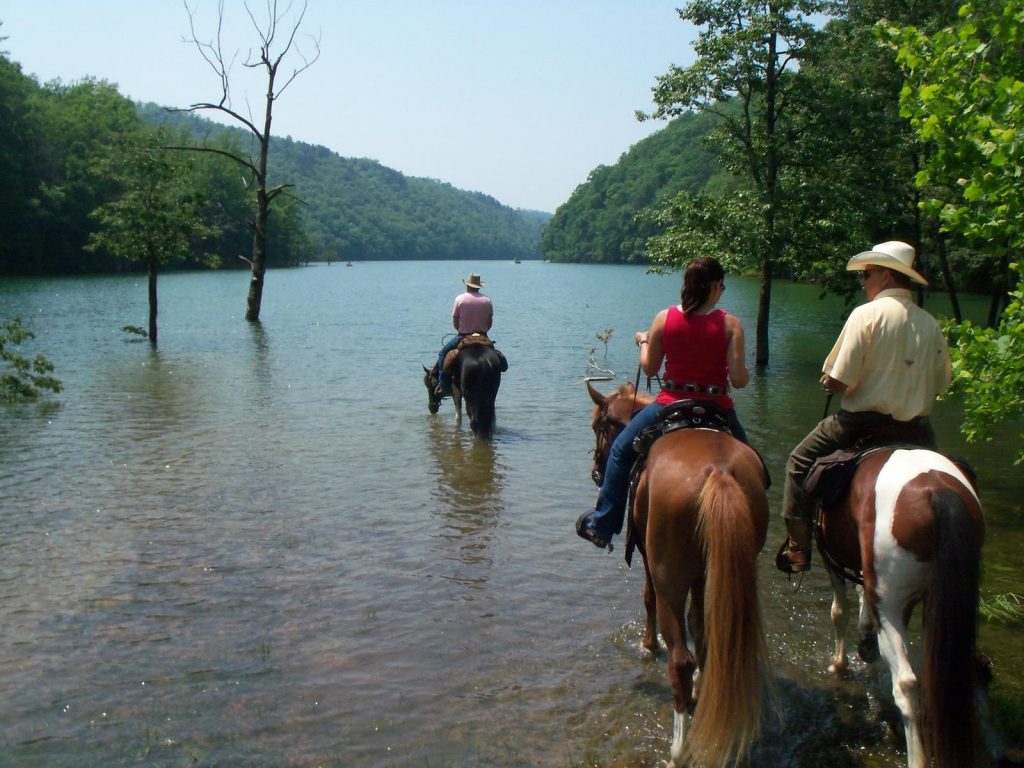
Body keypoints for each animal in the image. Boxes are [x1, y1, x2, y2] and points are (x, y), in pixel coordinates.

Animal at [589, 382, 770, 768]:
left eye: (598, 425)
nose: (597, 471)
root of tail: (718, 472)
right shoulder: (701, 575)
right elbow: (699, 627)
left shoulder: (648, 557)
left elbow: (648, 599)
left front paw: (648, 644)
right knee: (710, 636)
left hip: (668, 574)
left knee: (680, 661)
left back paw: (678, 750)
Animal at [811, 448, 987, 768]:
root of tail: (937, 490)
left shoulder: (832, 559)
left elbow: (839, 611)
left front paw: (839, 664)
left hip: (890, 604)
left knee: (906, 684)